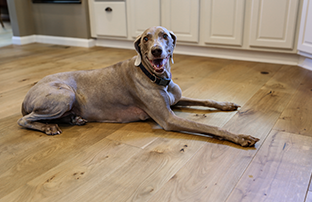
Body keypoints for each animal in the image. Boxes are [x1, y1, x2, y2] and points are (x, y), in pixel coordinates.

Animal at [18, 26, 260, 147]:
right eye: (145, 38)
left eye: (165, 36)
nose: (156, 50)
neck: (157, 78)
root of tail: (26, 95)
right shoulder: (168, 118)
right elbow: (209, 127)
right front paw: (241, 137)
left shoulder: (176, 98)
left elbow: (205, 99)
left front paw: (227, 104)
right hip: (64, 95)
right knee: (25, 120)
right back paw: (49, 127)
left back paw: (73, 119)